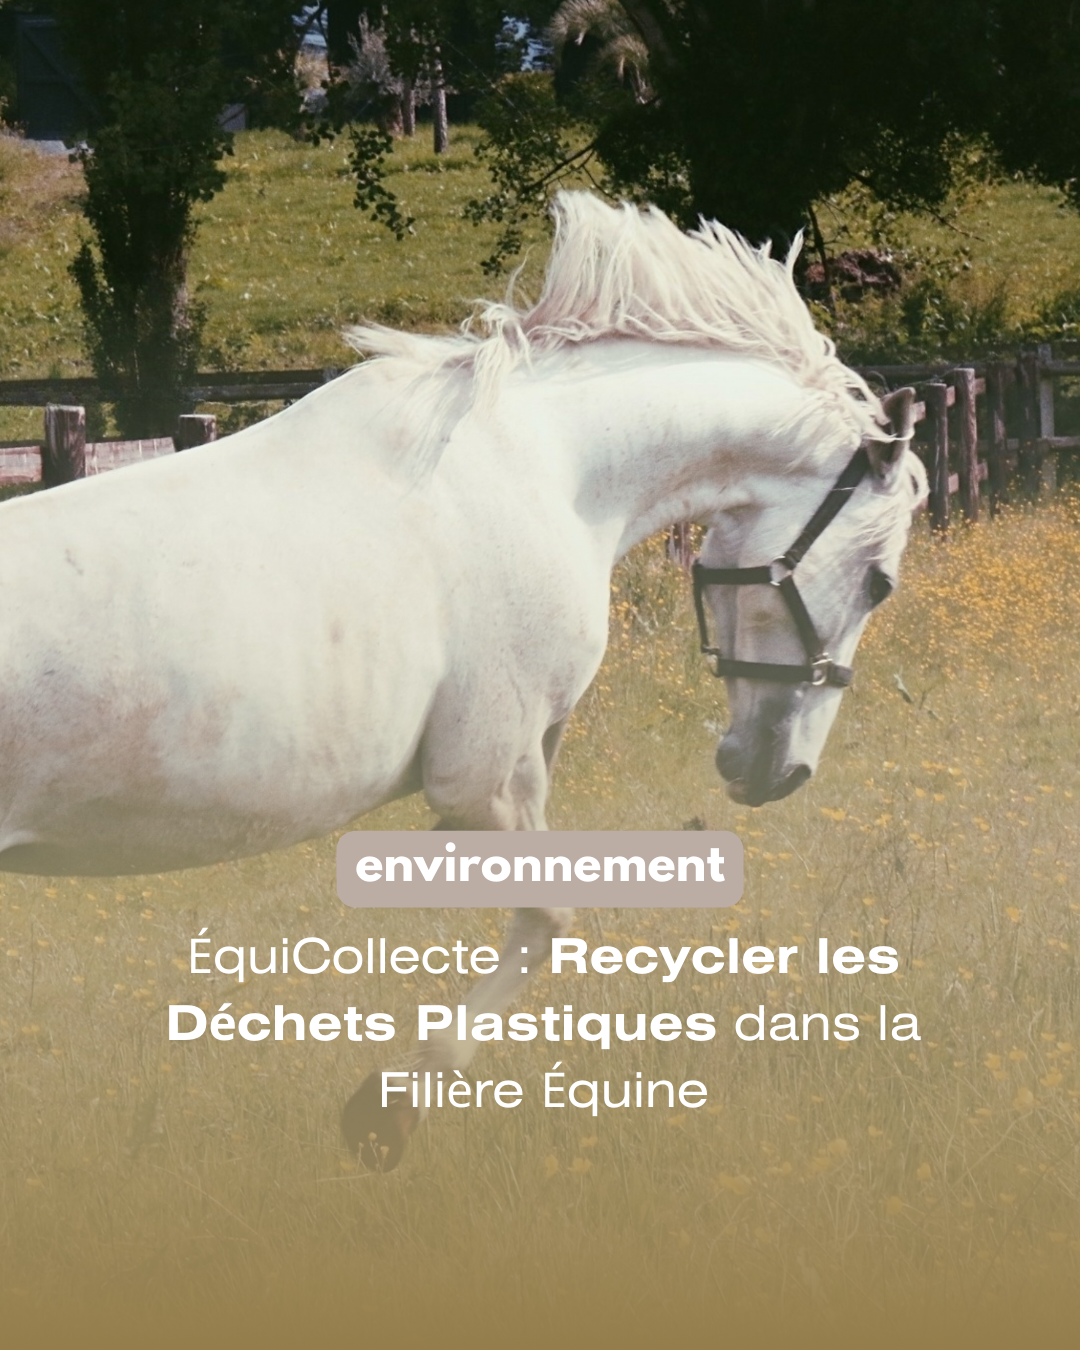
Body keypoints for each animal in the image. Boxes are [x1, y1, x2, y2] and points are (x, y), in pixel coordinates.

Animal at [0, 192, 926, 1166]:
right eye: (880, 582)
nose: (778, 771)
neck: (553, 472)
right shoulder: (484, 779)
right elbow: (549, 920)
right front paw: (388, 1109)